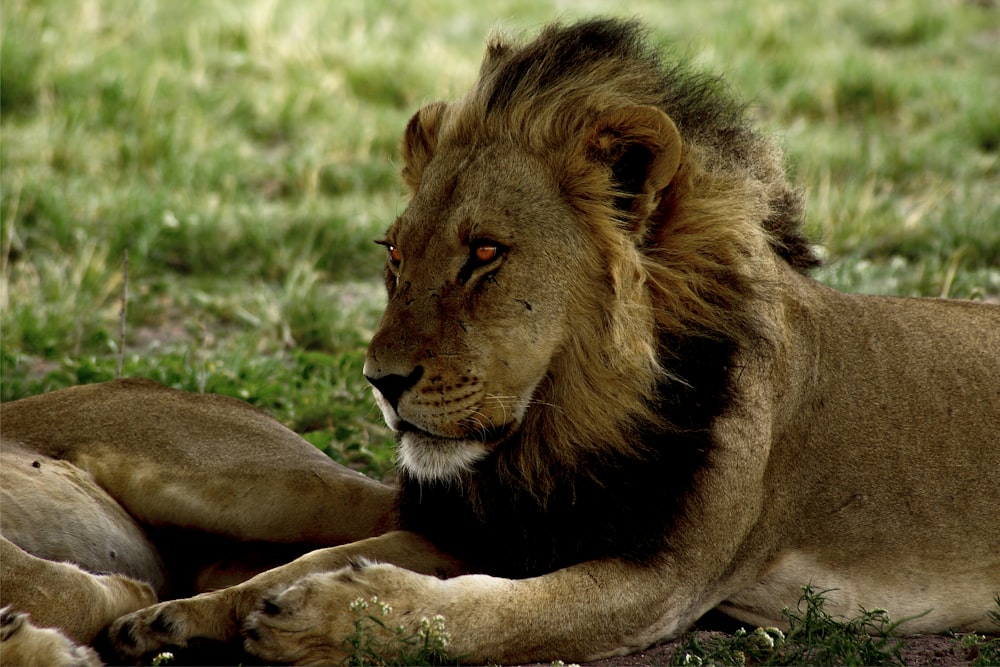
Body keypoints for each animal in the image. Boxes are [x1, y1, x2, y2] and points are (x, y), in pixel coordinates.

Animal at [1, 17, 1000, 667]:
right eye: (394, 254)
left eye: (484, 253)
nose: (380, 380)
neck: (563, 431)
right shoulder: (490, 528)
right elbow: (306, 560)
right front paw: (185, 614)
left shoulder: (662, 577)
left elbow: (486, 618)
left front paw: (324, 620)